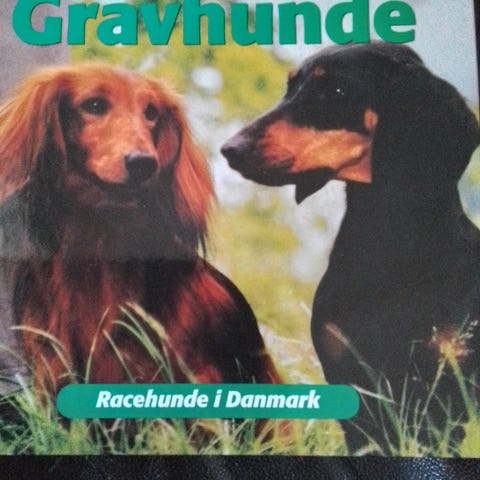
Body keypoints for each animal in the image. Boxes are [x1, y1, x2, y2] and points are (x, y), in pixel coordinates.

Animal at [221, 42, 480, 452]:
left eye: (337, 91)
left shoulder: (445, 395)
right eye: (290, 87)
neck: (387, 250)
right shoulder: (351, 383)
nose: (231, 149)